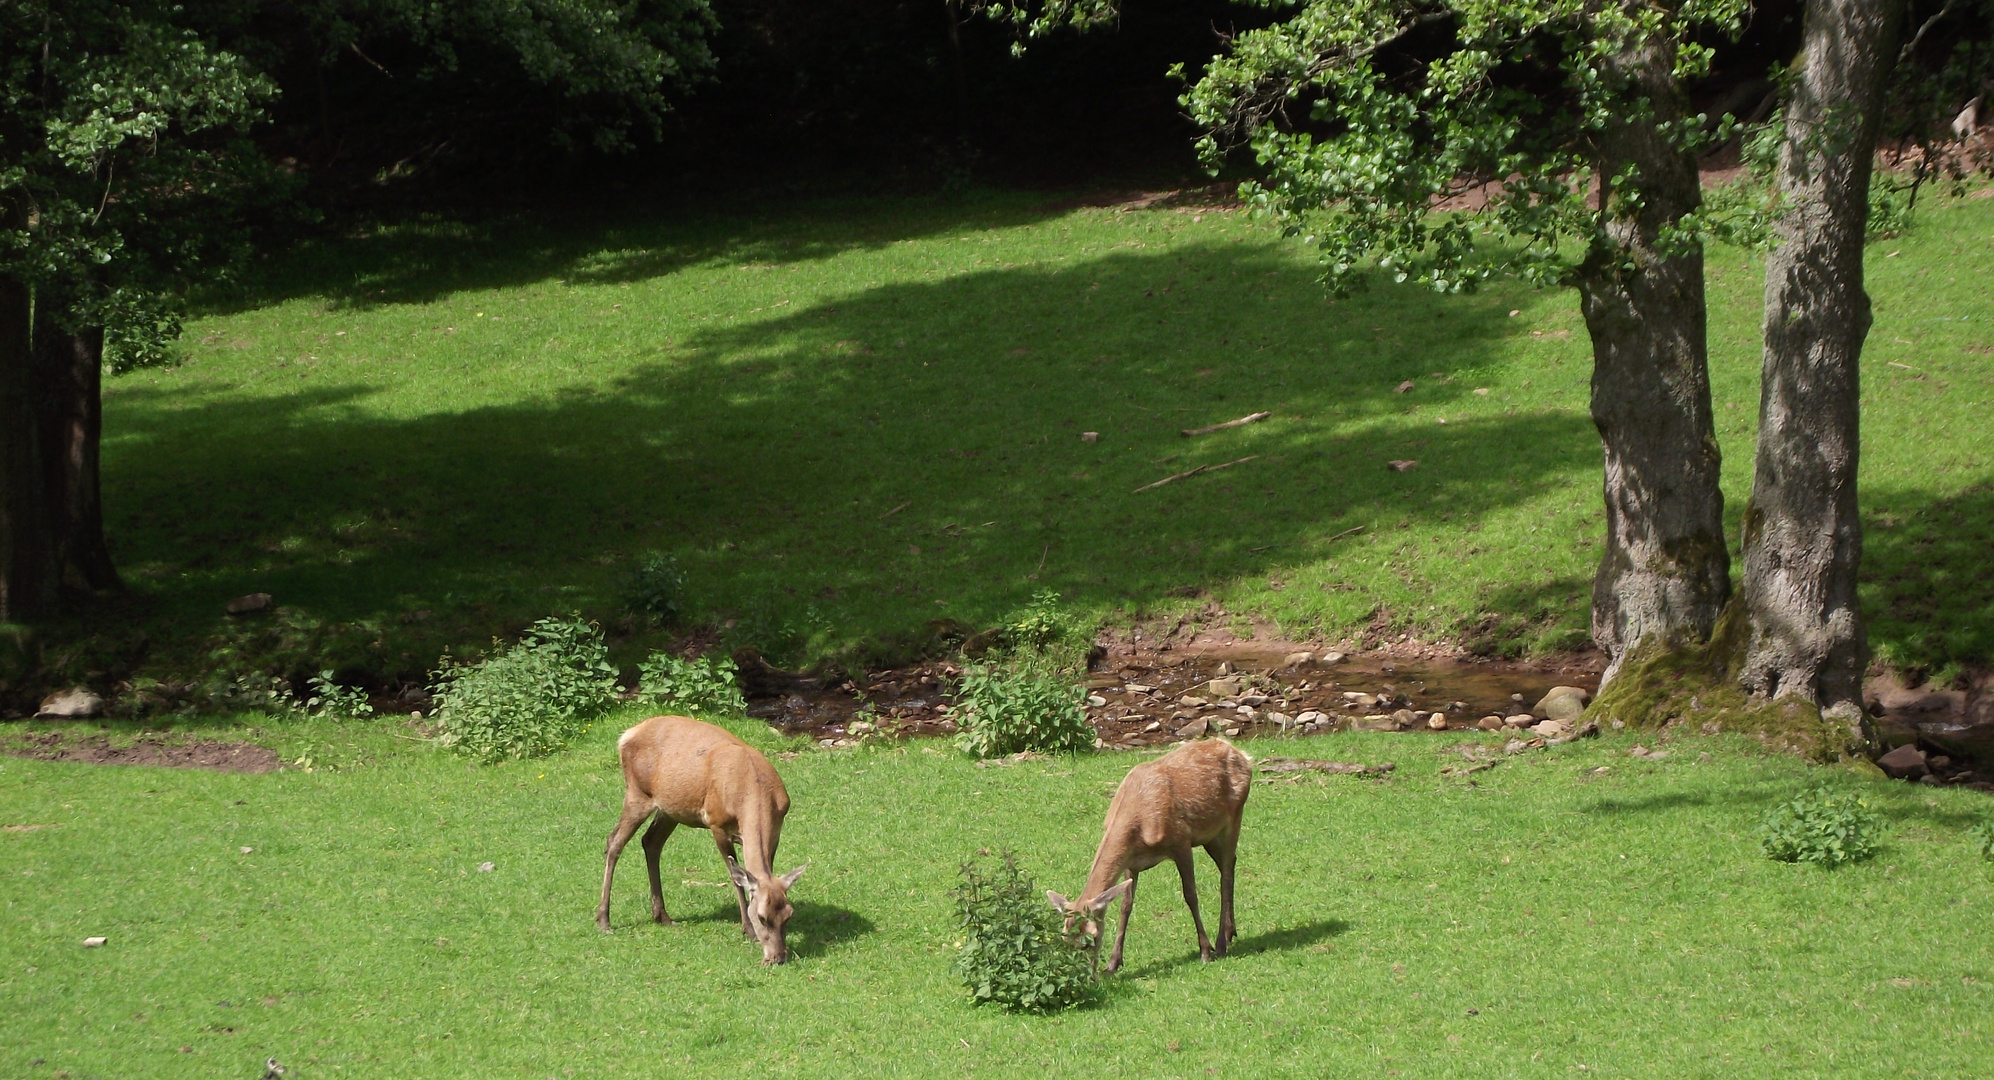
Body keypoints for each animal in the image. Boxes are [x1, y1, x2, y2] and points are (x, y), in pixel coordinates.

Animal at [594, 721, 805, 964]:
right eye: (761, 918)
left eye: (789, 914)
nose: (777, 957)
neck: (751, 791)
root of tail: (626, 735)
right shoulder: (716, 824)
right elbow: (735, 878)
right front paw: (748, 930)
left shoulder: (776, 832)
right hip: (637, 794)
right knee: (614, 842)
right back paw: (604, 920)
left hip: (670, 809)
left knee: (651, 841)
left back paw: (662, 916)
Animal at [1044, 741, 1244, 976]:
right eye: (1064, 939)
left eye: (1090, 939)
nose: (1082, 976)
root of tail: (1240, 752)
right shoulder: (1131, 862)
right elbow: (1125, 905)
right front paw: (1113, 963)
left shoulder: (1181, 841)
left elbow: (1190, 896)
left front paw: (1205, 951)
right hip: (1209, 835)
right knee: (1229, 864)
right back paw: (1230, 932)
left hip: (1235, 816)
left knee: (1226, 874)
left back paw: (1221, 943)